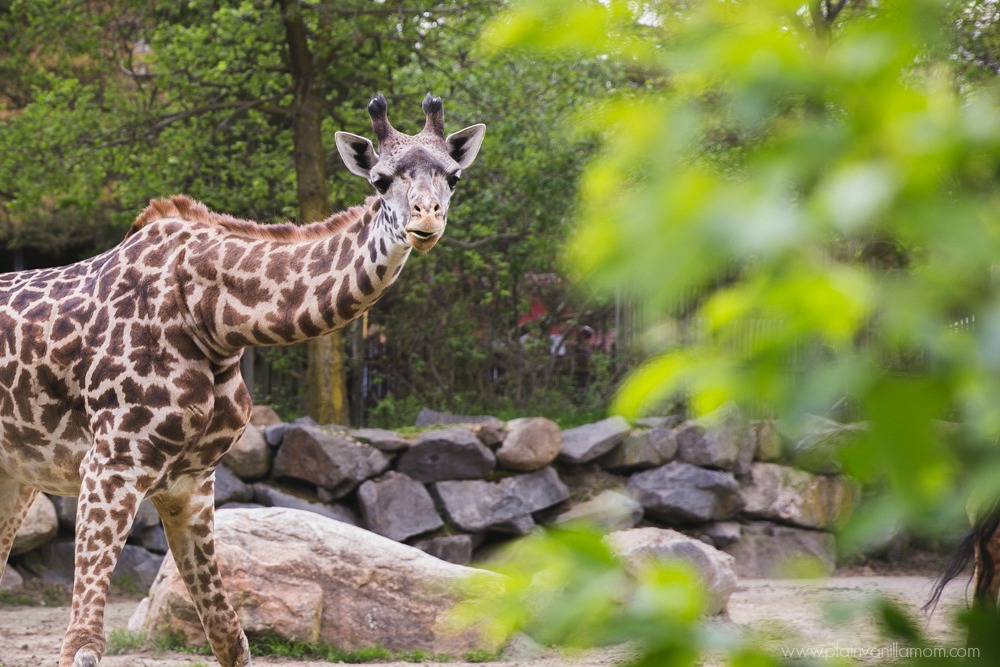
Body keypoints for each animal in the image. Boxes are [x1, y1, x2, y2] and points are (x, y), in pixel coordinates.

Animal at [0, 93, 485, 667]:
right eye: (381, 179)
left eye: (454, 177)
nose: (426, 219)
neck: (212, 318)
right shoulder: (112, 464)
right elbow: (83, 646)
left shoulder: (189, 482)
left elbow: (231, 639)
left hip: (16, 476)